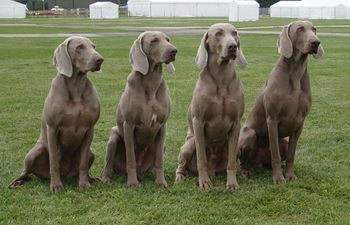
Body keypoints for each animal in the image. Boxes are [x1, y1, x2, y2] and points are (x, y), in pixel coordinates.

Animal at [7, 37, 104, 192]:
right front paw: (56, 186)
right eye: (79, 47)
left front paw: (84, 184)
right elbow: (53, 161)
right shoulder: (52, 128)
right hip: (33, 153)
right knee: (26, 172)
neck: (76, 86)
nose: (100, 59)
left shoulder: (90, 129)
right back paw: (17, 182)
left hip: (91, 152)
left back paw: (92, 178)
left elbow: (83, 163)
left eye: (93, 46)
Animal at [102, 30, 178, 187]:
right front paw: (132, 183)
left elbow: (160, 160)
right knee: (109, 163)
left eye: (168, 40)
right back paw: (107, 178)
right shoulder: (129, 125)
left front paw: (161, 182)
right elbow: (131, 157)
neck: (151, 83)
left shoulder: (162, 126)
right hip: (114, 136)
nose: (174, 51)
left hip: (163, 145)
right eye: (154, 40)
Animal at [239, 20, 324, 184]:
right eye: (300, 29)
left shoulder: (300, 123)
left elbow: (292, 154)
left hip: (283, 141)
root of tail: (257, 163)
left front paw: (289, 175)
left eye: (314, 29)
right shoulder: (272, 119)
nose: (316, 42)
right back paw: (245, 172)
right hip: (248, 134)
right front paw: (278, 178)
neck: (296, 72)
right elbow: (275, 154)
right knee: (241, 161)